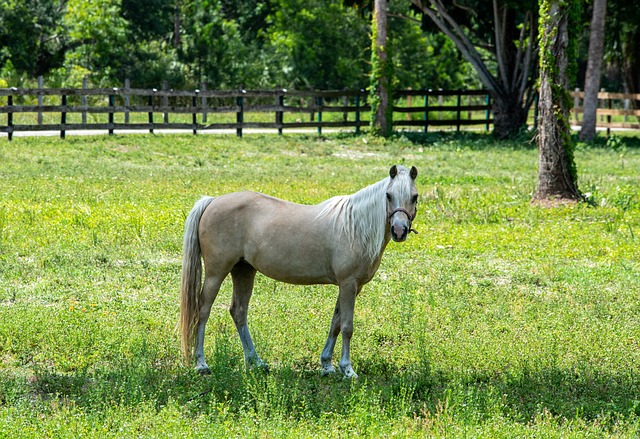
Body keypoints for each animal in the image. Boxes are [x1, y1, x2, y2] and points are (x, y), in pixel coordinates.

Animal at [180, 164, 420, 378]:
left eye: (415, 196)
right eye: (388, 195)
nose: (399, 231)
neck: (354, 226)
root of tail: (212, 201)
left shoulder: (351, 287)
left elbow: (335, 323)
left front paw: (327, 366)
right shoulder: (348, 284)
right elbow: (347, 326)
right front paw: (347, 369)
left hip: (244, 270)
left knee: (238, 312)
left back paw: (256, 362)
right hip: (216, 273)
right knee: (203, 311)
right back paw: (202, 364)